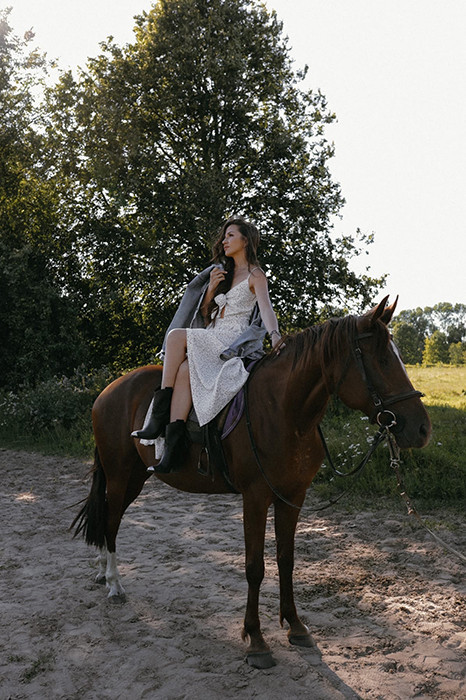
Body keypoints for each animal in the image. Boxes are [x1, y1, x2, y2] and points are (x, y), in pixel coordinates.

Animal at [72, 297, 431, 668]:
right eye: (383, 359)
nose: (422, 429)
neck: (284, 410)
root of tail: (109, 390)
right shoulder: (256, 498)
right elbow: (255, 567)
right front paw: (256, 639)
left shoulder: (292, 496)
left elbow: (286, 560)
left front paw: (295, 625)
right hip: (120, 474)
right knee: (111, 521)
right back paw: (114, 584)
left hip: (134, 478)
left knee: (108, 518)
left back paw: (103, 570)